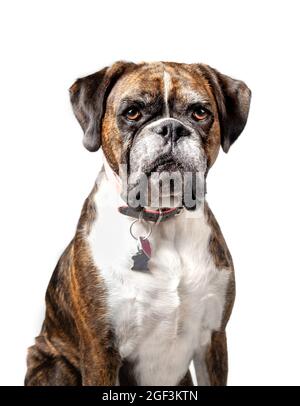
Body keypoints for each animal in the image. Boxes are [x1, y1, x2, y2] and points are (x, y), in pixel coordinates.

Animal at [25, 61, 251, 386]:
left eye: (199, 112)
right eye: (132, 112)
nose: (171, 128)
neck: (161, 221)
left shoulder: (213, 339)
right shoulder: (101, 350)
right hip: (54, 363)